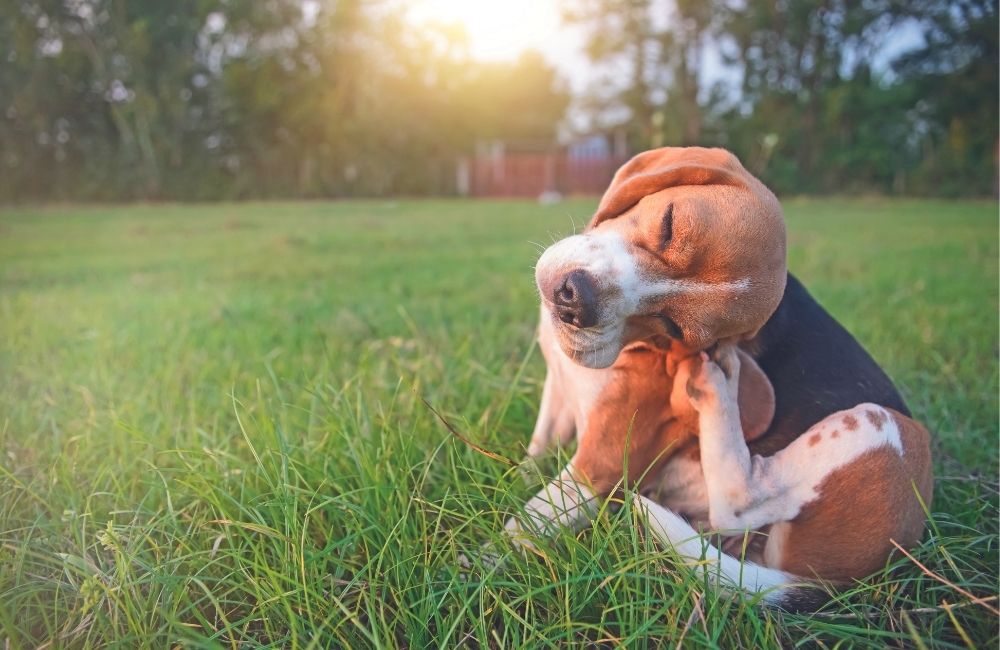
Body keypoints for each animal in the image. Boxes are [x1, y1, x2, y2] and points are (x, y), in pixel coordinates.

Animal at [500, 146, 928, 608]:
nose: (575, 301)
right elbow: (535, 455)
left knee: (741, 502)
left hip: (884, 427)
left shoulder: (599, 467)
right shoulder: (558, 395)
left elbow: (516, 530)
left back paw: (716, 387)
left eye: (673, 328)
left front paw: (475, 567)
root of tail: (832, 583)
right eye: (668, 225)